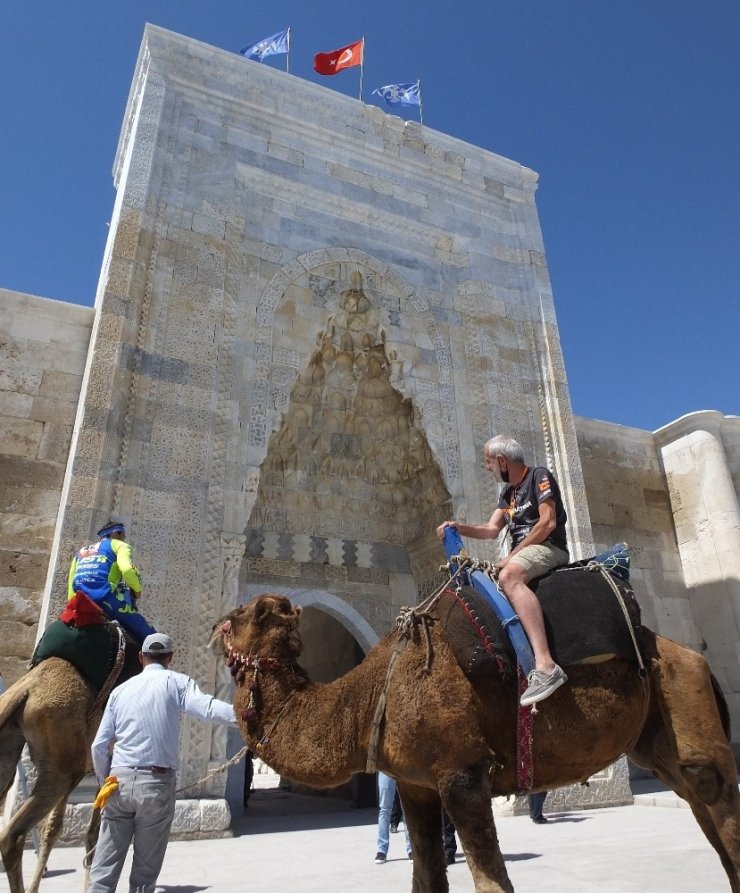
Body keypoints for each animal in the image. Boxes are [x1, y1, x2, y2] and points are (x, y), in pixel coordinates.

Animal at [210, 592, 740, 892]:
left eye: (237, 614)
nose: (212, 630)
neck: (370, 694)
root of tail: (692, 655)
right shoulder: (415, 784)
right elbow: (426, 878)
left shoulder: (461, 773)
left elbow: (491, 881)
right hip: (660, 739)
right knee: (705, 814)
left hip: (689, 717)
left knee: (718, 803)